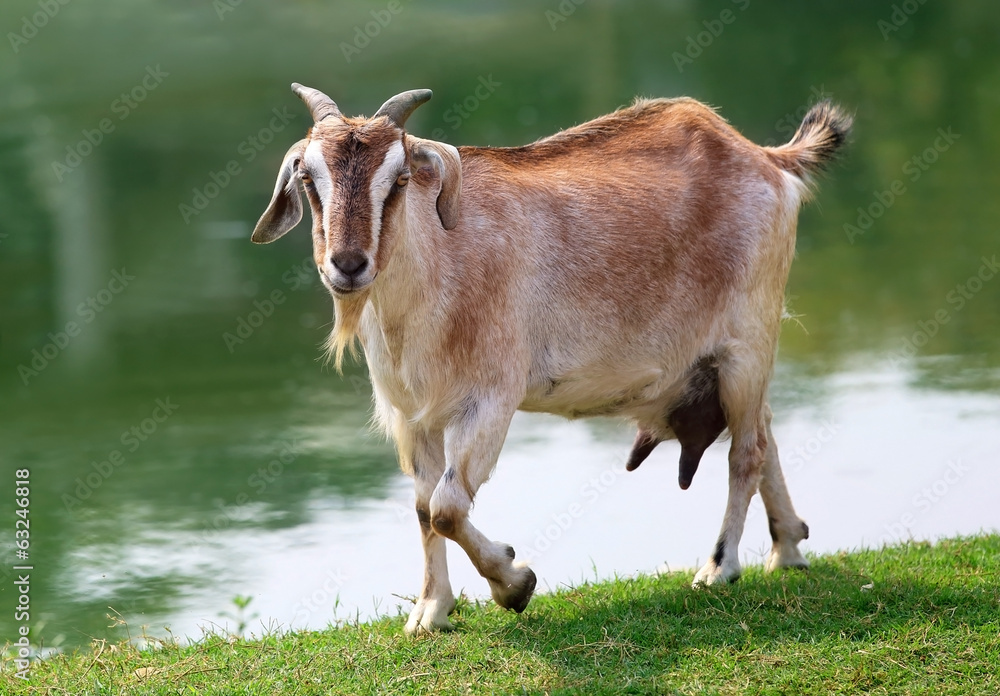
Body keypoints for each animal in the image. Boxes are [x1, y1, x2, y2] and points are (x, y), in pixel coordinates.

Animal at [250, 84, 852, 632]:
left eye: (398, 179)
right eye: (309, 179)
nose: (348, 264)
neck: (439, 271)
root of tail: (768, 159)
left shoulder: (490, 398)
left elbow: (447, 507)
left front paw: (515, 583)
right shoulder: (410, 414)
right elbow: (424, 509)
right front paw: (431, 611)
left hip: (748, 341)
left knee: (747, 452)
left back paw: (719, 568)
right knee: (765, 433)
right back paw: (787, 549)